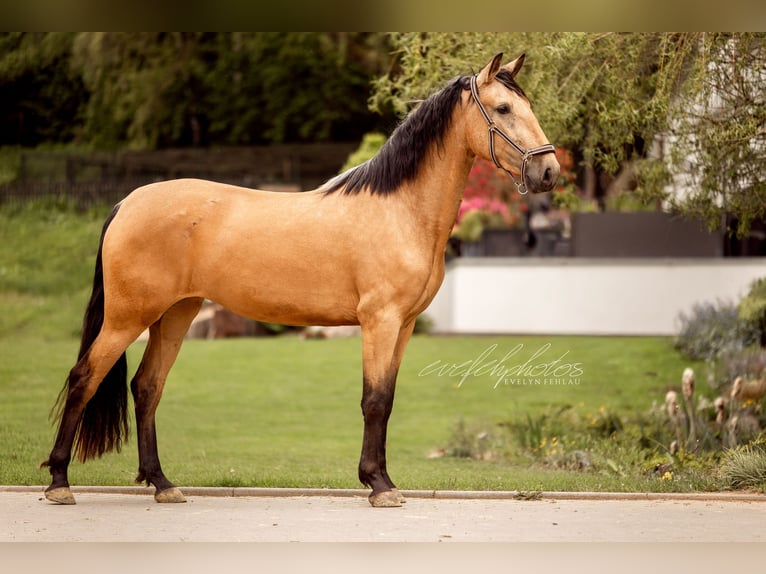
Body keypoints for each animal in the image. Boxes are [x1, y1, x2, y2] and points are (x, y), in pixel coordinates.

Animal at [41, 52, 559, 508]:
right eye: (503, 109)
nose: (549, 170)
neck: (399, 210)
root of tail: (127, 202)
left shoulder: (405, 326)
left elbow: (388, 399)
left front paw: (383, 480)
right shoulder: (380, 321)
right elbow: (374, 401)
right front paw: (378, 486)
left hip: (175, 314)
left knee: (147, 387)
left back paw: (163, 484)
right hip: (128, 316)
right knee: (84, 377)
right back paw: (60, 482)